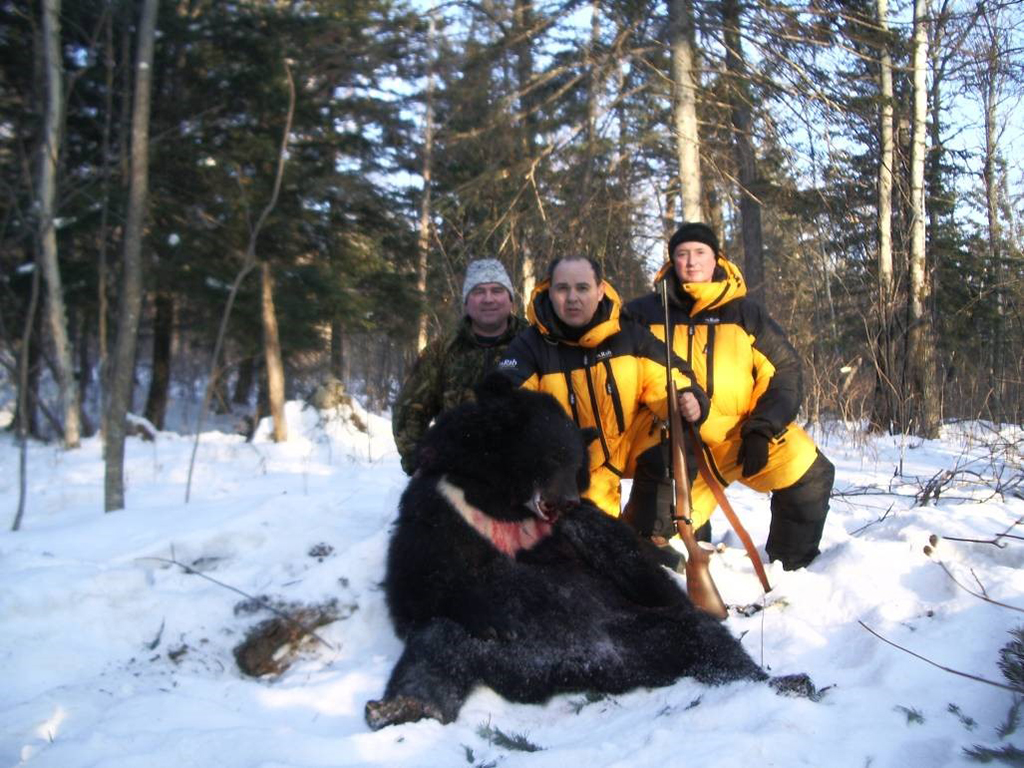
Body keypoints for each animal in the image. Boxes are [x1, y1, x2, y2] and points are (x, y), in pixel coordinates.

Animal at [366, 376, 806, 729]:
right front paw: (497, 616)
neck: (504, 502)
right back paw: (400, 707)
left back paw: (788, 682)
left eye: (576, 462)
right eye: (549, 456)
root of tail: (587, 667)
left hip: (648, 628)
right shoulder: (442, 501)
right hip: (496, 653)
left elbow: (630, 560)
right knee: (438, 643)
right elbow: (420, 580)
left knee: (711, 641)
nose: (566, 501)